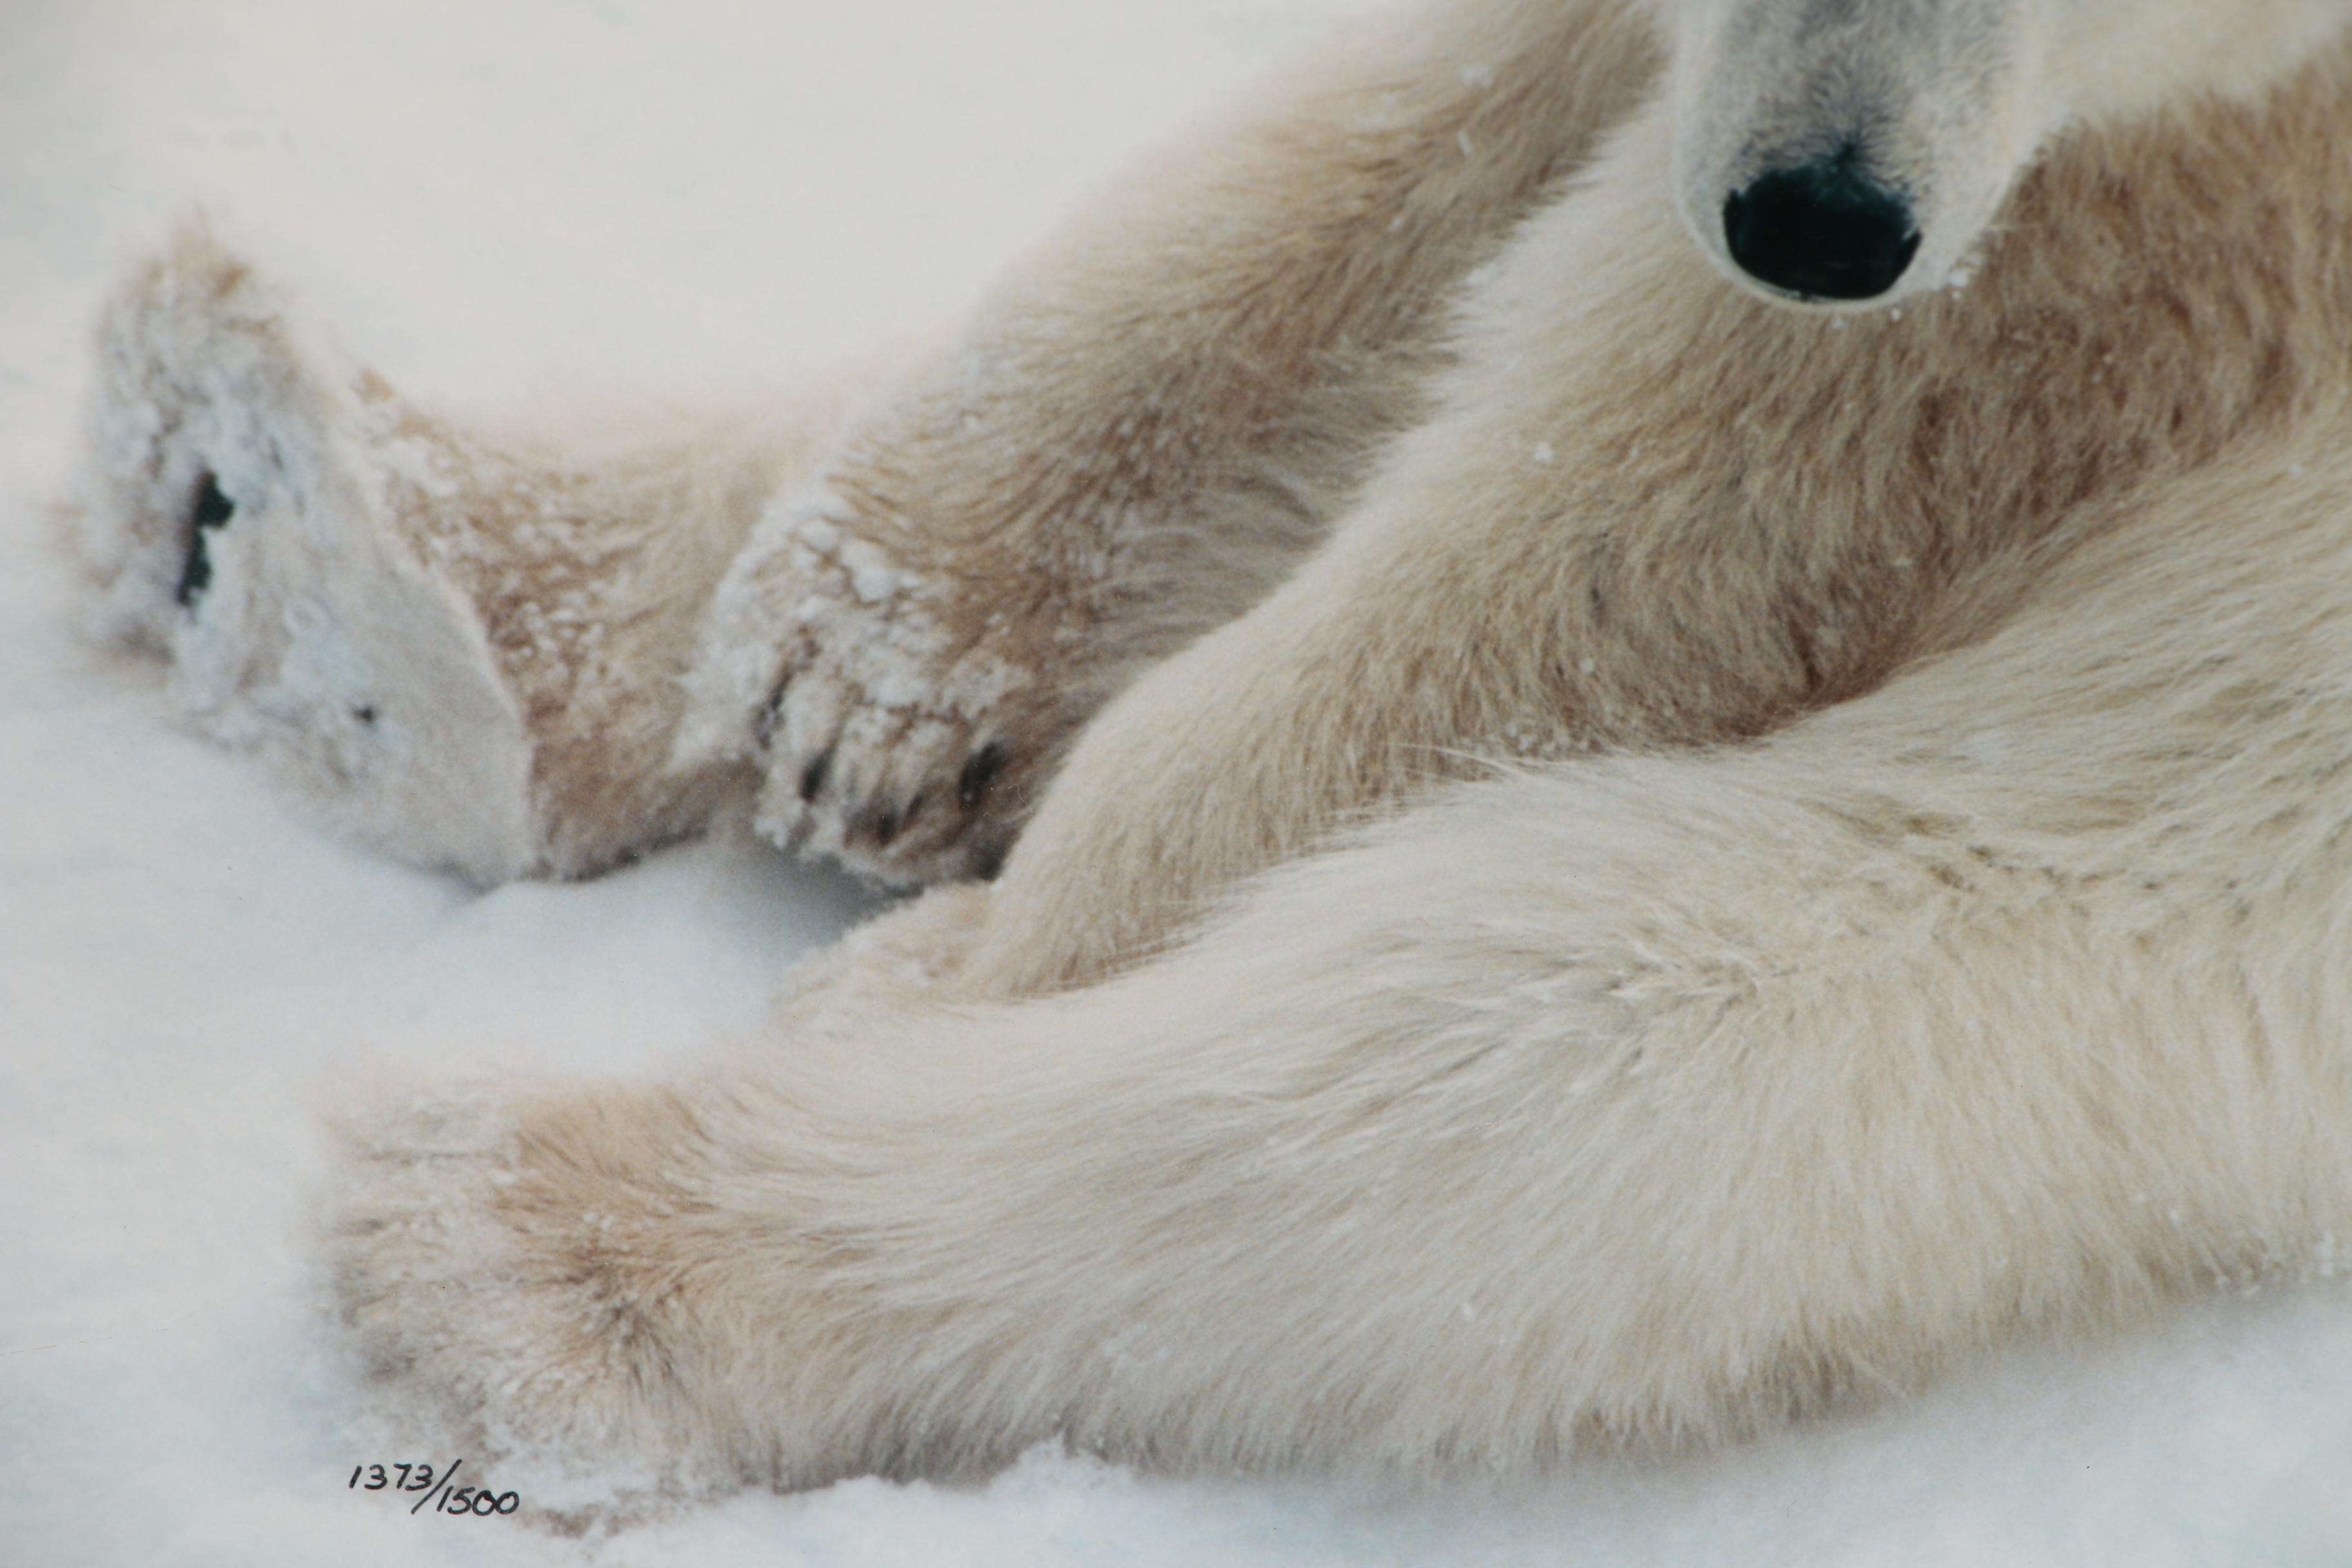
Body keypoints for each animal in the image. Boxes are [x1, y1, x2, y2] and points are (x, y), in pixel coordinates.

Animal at [69, 0, 2352, 1498]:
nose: (1817, 207)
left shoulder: (2187, 196)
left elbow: (1767, 436)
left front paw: (993, 937)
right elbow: (1449, 116)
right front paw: (878, 648)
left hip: (2243, 753)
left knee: (1627, 1003)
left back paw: (527, 1233)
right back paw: (305, 539)